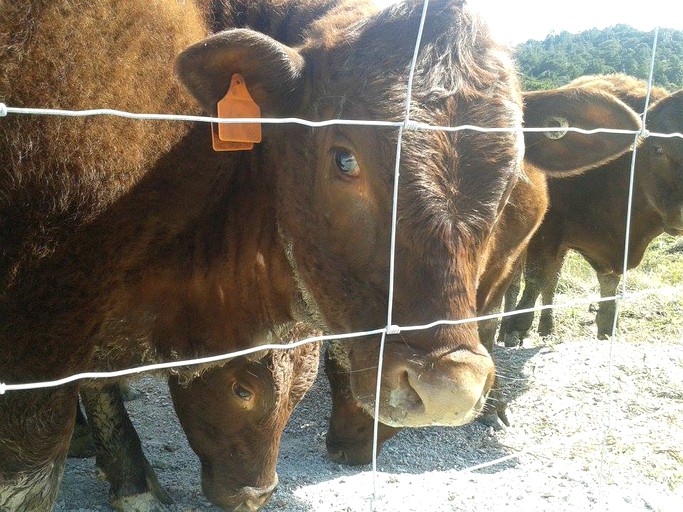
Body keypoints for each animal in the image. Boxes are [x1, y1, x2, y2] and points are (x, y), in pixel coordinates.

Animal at [502, 74, 683, 346]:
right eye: (659, 149)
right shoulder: (545, 232)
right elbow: (534, 280)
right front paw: (516, 327)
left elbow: (606, 291)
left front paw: (606, 326)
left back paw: (546, 327)